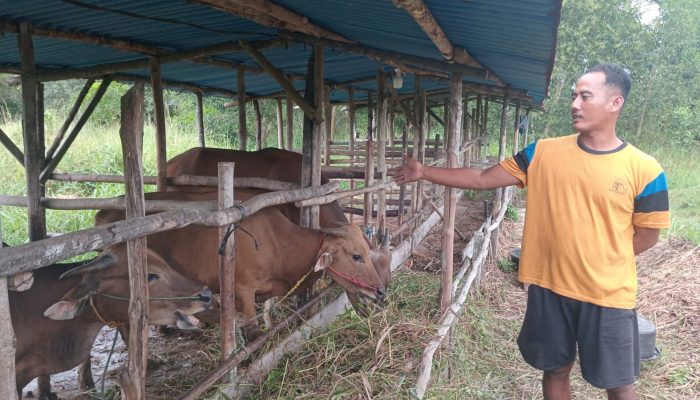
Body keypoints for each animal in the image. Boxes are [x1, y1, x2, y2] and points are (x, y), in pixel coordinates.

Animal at [93, 191, 386, 338]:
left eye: (367, 252)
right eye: (356, 256)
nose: (381, 291)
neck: (277, 242)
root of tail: (104, 215)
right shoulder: (243, 291)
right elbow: (253, 332)